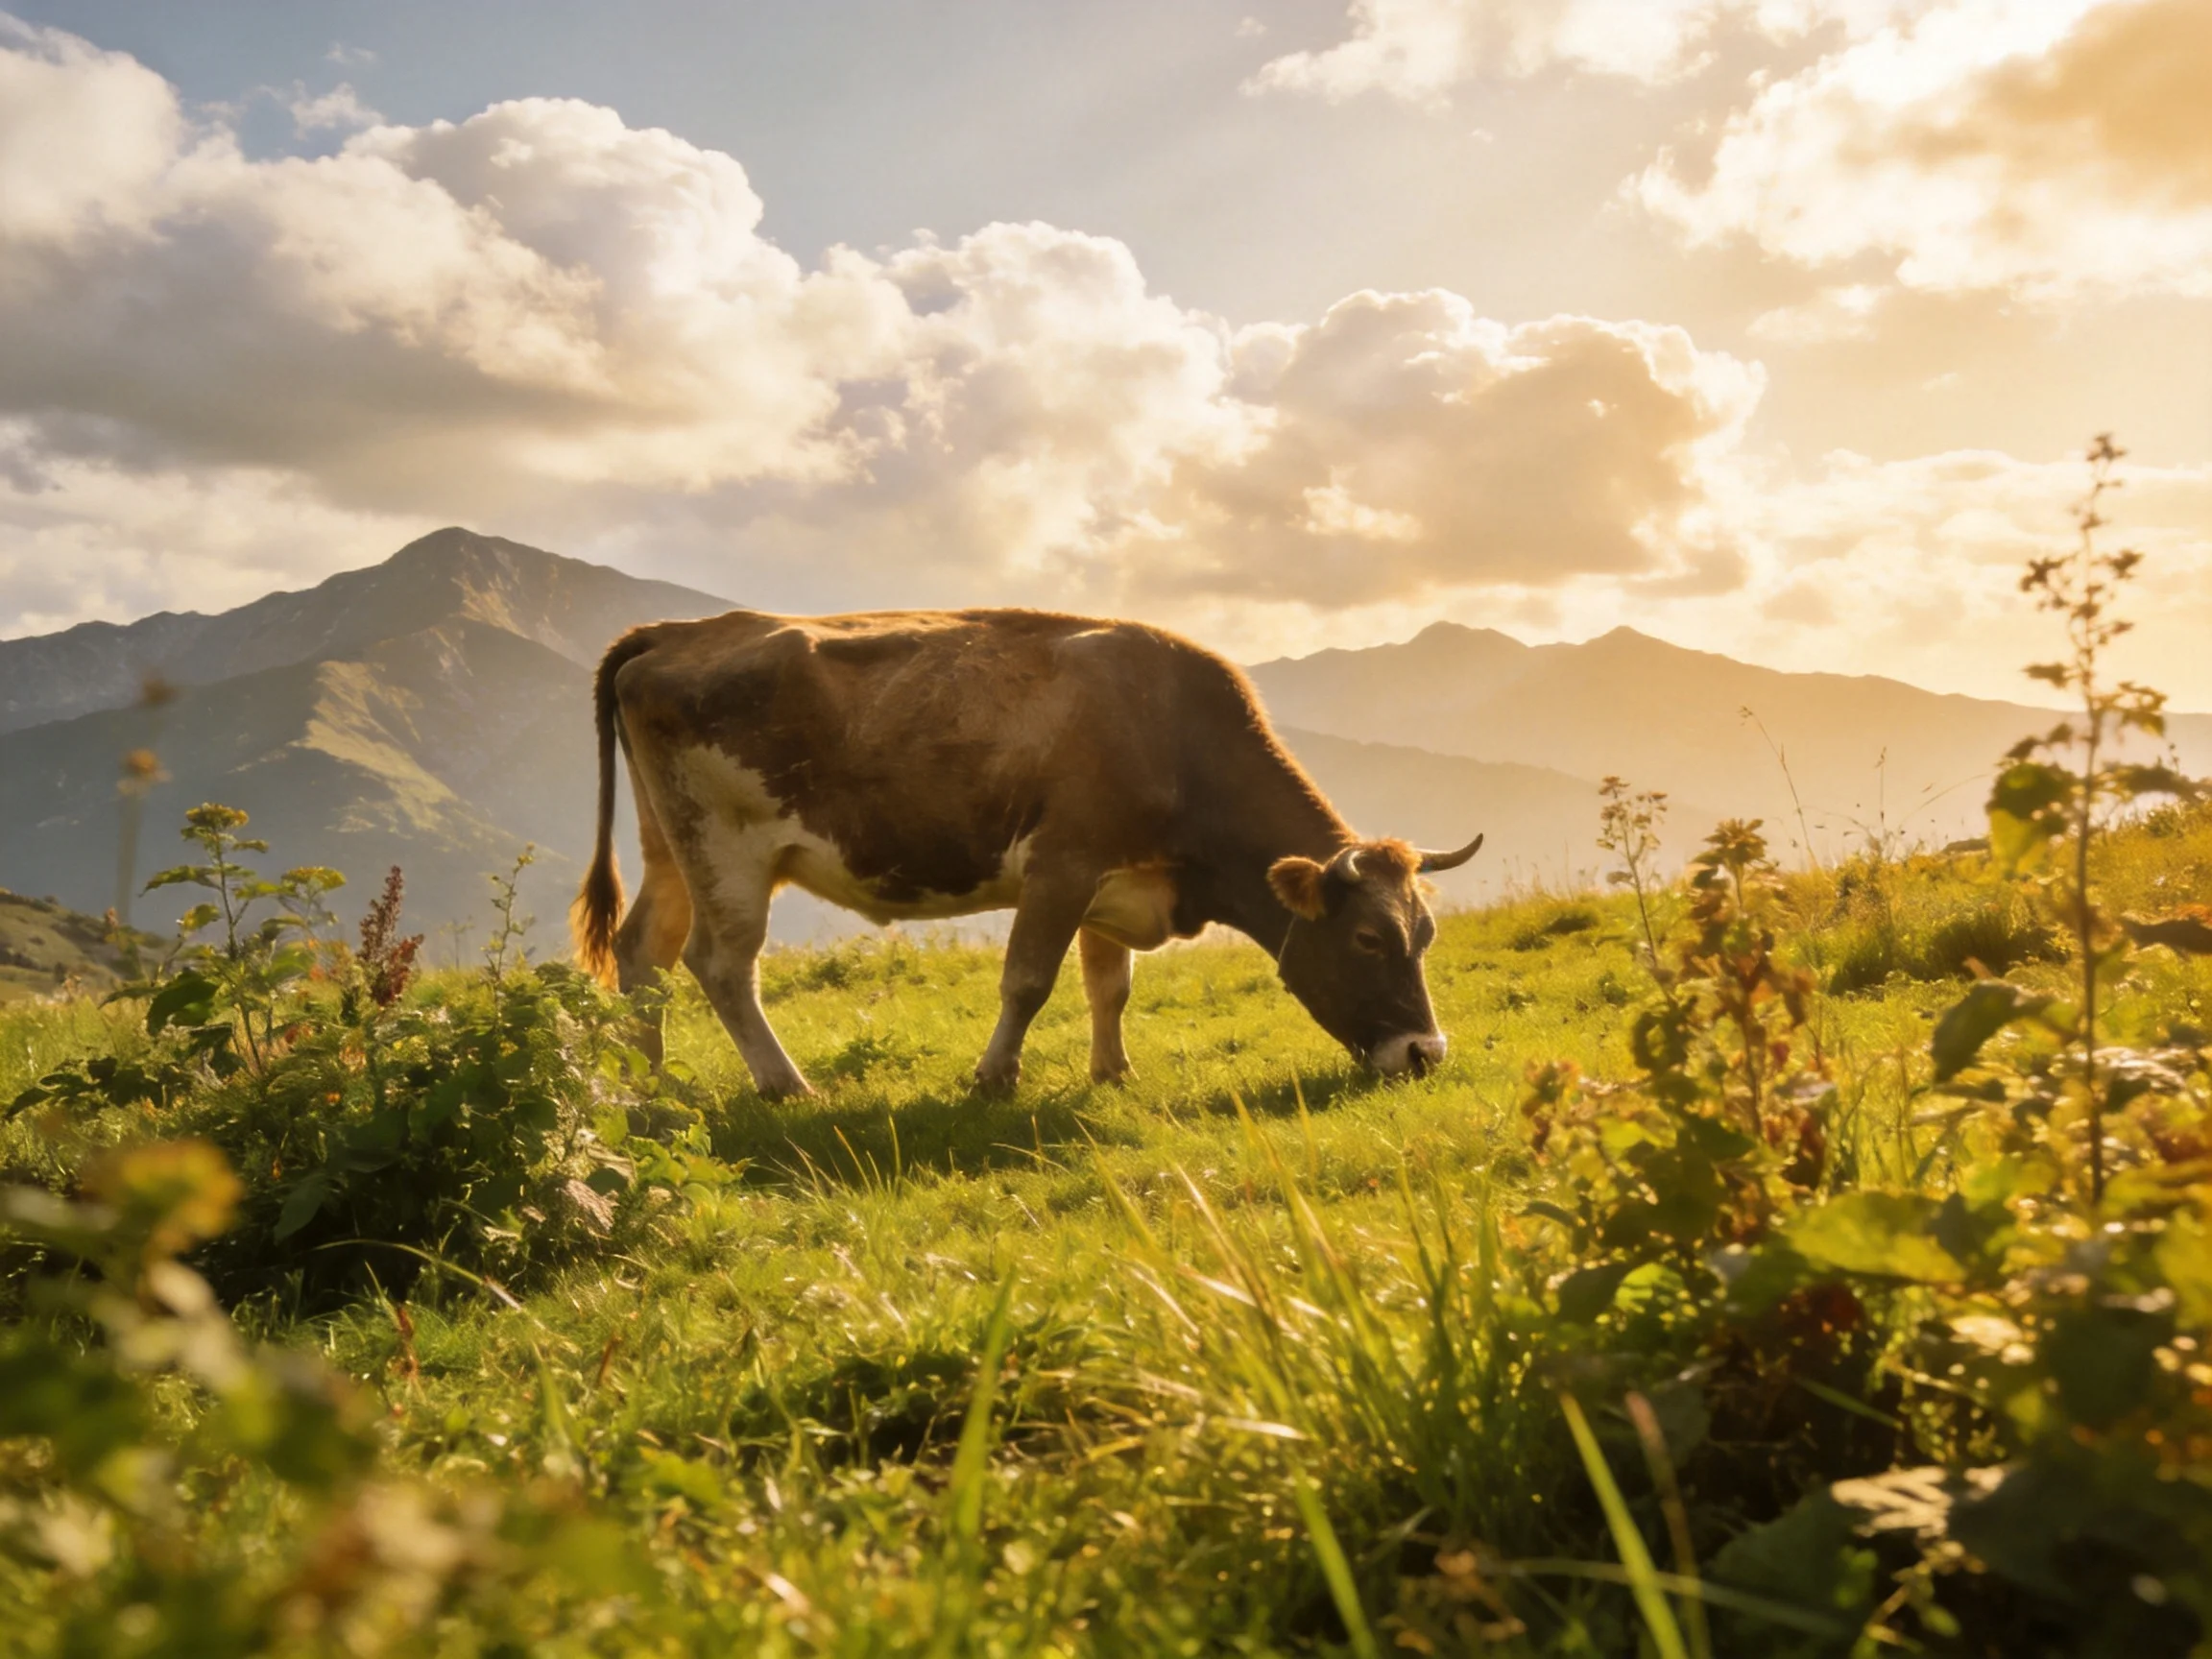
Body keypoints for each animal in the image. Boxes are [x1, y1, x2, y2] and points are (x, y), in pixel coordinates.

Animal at [570, 608, 1483, 1098]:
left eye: (1427, 936)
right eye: (1368, 939)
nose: (1426, 1054)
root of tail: (677, 632)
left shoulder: (1115, 884)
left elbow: (1109, 986)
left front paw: (1113, 1072)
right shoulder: (1062, 864)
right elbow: (1030, 980)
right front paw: (993, 1077)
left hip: (670, 843)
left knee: (642, 952)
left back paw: (650, 1083)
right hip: (727, 848)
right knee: (721, 964)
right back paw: (786, 1083)